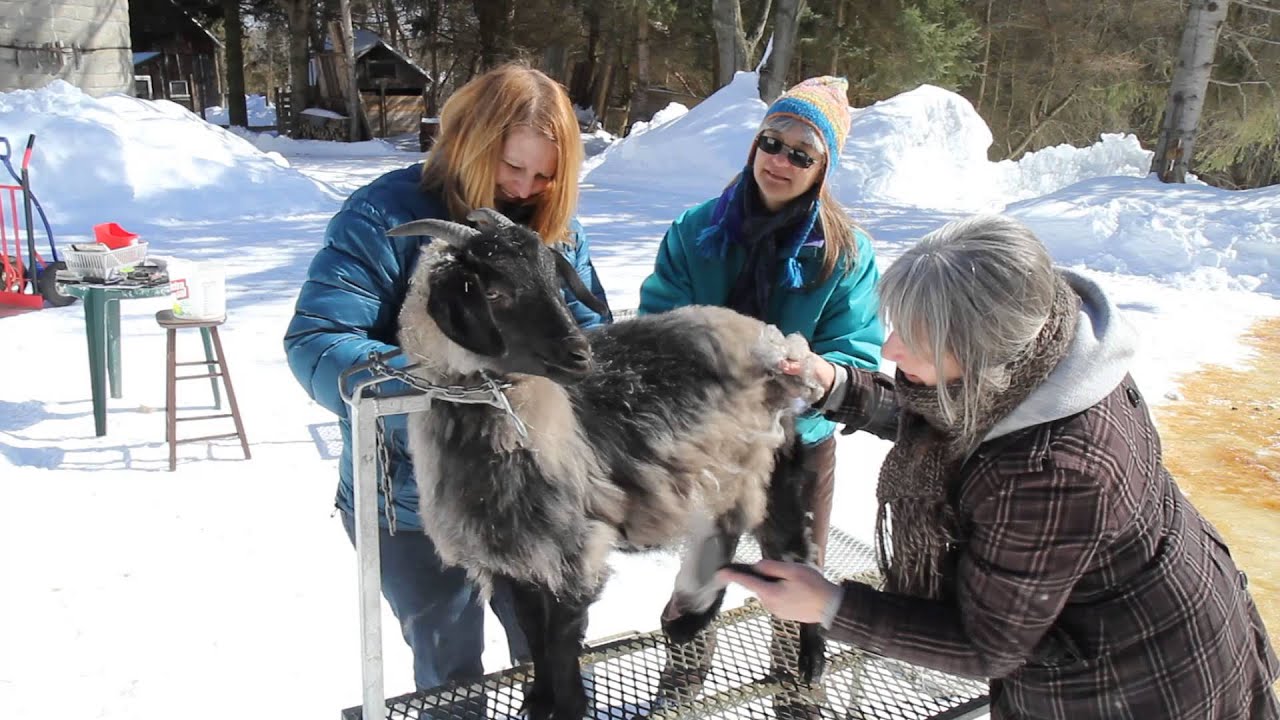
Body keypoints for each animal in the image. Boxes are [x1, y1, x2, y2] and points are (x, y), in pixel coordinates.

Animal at [388, 209, 829, 720]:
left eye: (554, 280)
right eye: (493, 292)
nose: (581, 355)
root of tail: (772, 341)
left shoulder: (574, 551)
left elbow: (560, 641)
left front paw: (567, 704)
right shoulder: (520, 560)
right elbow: (533, 634)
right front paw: (538, 700)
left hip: (770, 462)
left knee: (793, 545)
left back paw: (809, 658)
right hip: (726, 468)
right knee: (729, 526)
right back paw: (690, 616)